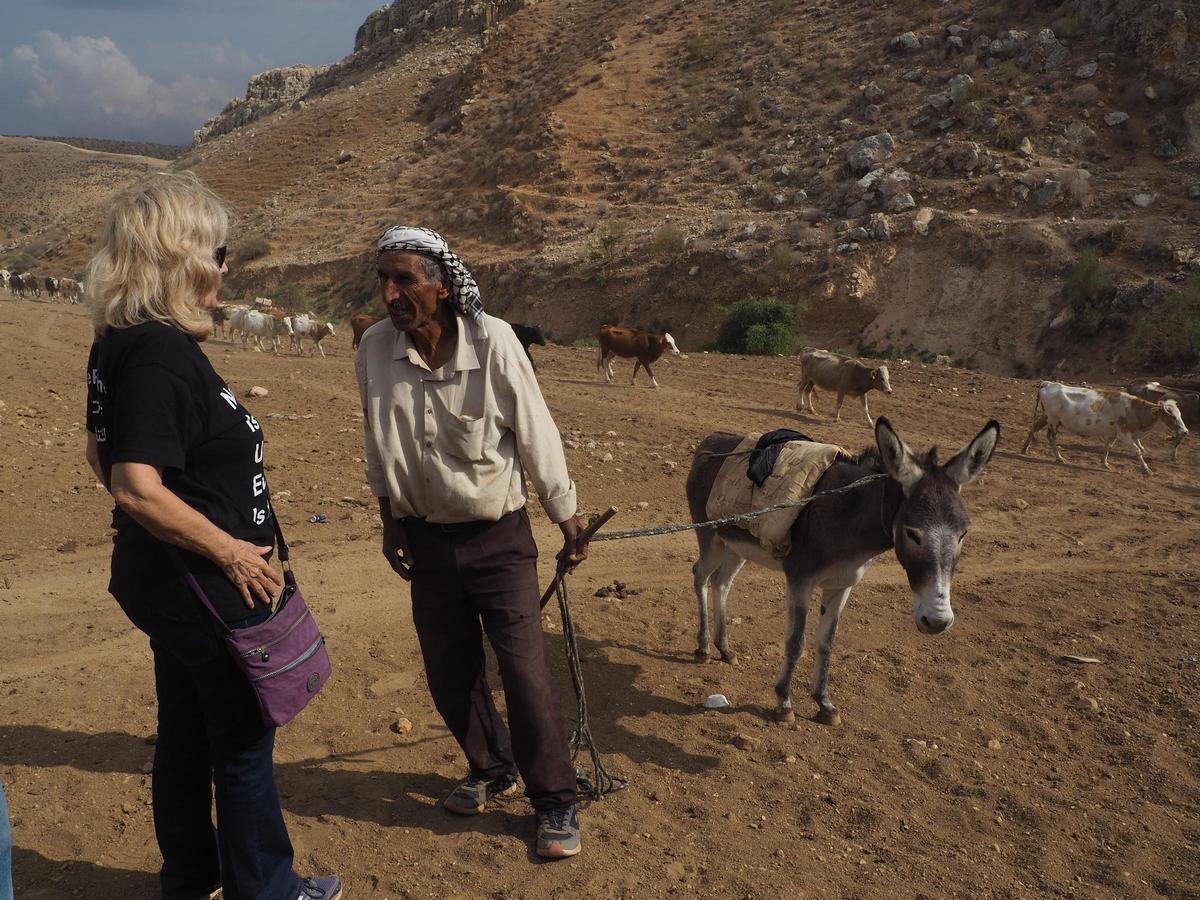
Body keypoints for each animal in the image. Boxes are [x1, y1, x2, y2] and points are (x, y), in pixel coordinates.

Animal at [1017, 381, 1185, 475]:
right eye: (1171, 415)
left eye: (1179, 414)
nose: (1184, 431)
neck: (1133, 409)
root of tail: (1049, 383)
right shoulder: (1124, 434)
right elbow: (1137, 451)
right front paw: (1147, 470)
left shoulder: (1113, 433)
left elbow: (1107, 447)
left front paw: (1104, 463)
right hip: (1053, 420)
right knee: (1051, 437)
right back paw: (1059, 458)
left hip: (1046, 417)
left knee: (1033, 428)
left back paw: (1025, 449)